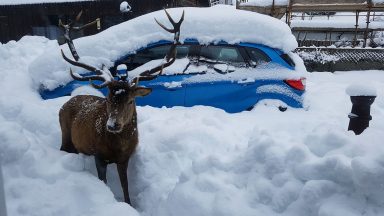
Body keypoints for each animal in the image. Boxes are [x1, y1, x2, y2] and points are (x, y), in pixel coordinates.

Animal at [59, 9, 184, 205]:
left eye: (131, 100)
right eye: (108, 98)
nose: (112, 125)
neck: (119, 147)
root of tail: (65, 103)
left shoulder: (125, 158)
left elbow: (126, 187)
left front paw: (128, 204)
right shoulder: (99, 155)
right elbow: (104, 182)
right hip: (64, 132)